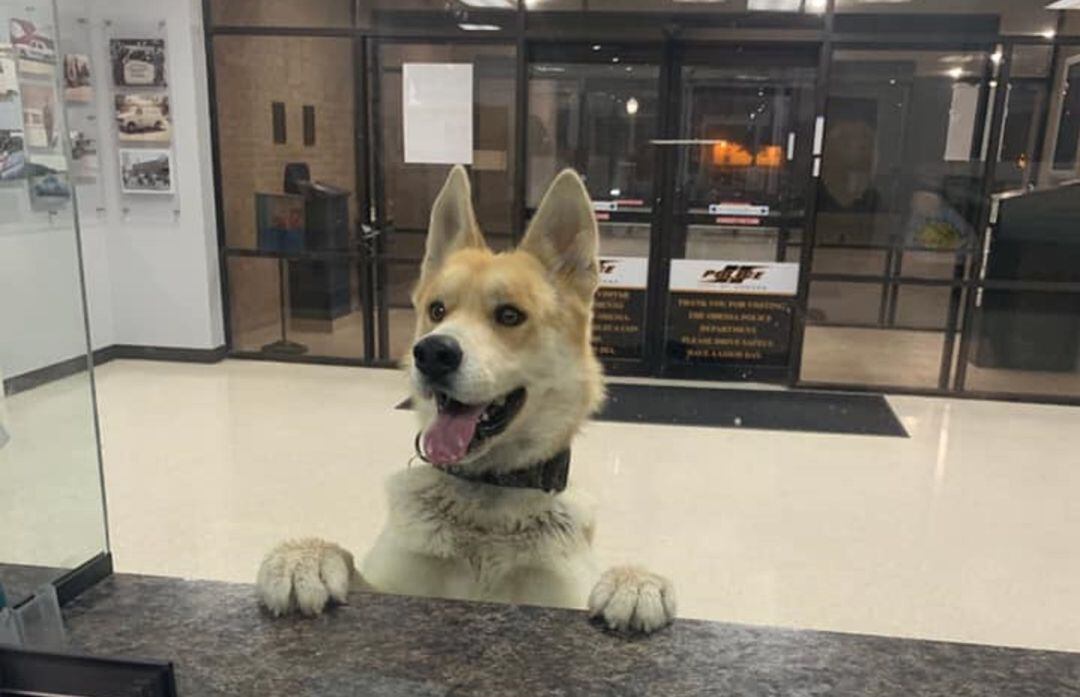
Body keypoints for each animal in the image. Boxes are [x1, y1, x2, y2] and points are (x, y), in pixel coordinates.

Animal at [254, 167, 673, 631]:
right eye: (437, 310)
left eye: (509, 315)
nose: (433, 353)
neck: (487, 493)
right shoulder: (392, 585)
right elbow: (347, 559)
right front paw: (303, 557)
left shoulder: (561, 596)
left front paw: (634, 580)